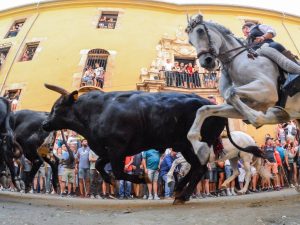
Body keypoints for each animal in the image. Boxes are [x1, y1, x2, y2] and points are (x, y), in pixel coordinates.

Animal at [42, 83, 262, 203]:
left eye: (58, 107)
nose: (44, 124)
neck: (97, 111)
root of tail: (214, 106)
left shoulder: (117, 148)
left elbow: (119, 171)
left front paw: (142, 178)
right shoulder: (111, 150)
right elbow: (99, 165)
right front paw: (109, 180)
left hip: (197, 144)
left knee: (200, 168)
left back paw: (183, 195)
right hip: (185, 146)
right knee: (196, 168)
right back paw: (179, 188)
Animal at [185, 14, 300, 164]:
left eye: (200, 31)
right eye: (190, 41)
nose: (206, 62)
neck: (236, 62)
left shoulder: (268, 90)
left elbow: (231, 93)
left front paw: (267, 116)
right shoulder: (248, 105)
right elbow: (204, 109)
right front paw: (200, 148)